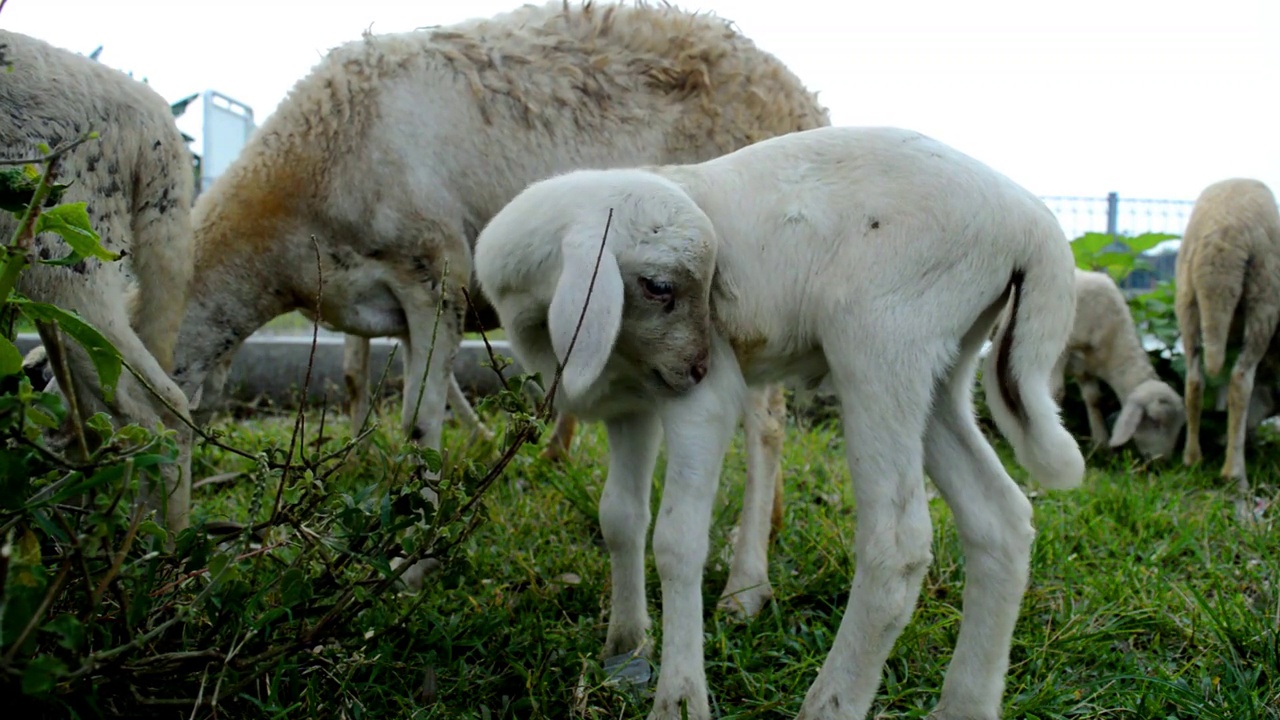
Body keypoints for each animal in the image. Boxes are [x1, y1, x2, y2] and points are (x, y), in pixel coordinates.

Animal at [476, 122, 1085, 717]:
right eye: (659, 287)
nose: (699, 366)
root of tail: (1034, 224)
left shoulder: (700, 402)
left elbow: (677, 541)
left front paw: (679, 698)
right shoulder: (633, 405)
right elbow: (621, 519)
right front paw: (627, 649)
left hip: (881, 341)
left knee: (898, 548)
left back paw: (830, 702)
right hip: (941, 368)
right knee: (1000, 520)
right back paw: (965, 703)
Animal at [1049, 266, 1187, 456]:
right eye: (1154, 421)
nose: (1161, 460)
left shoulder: (1084, 365)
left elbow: (1094, 399)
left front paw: (1101, 443)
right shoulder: (1060, 354)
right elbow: (1056, 394)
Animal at [1172, 175, 1280, 484]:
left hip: (1187, 301)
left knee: (1194, 381)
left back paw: (1192, 459)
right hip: (1264, 298)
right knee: (1240, 381)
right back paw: (1234, 472)